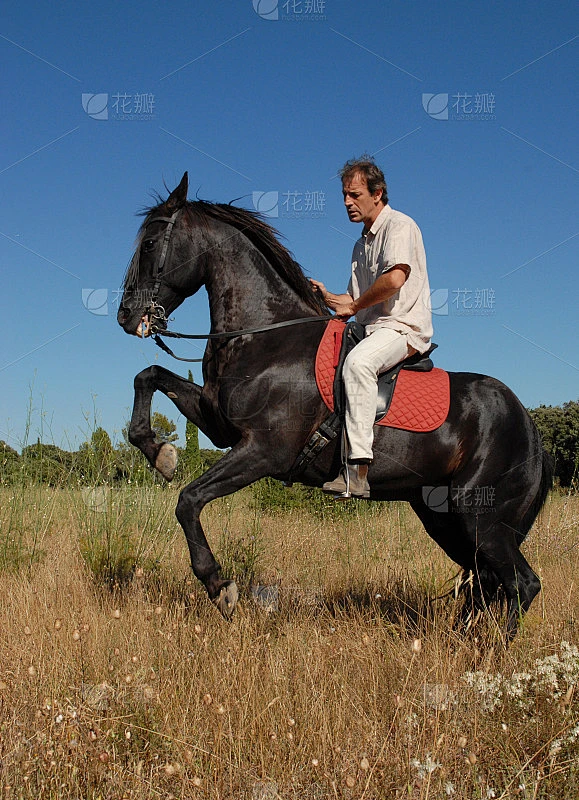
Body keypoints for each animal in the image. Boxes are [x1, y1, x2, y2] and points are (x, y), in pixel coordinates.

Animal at [117, 172, 552, 640]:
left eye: (150, 243)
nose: (125, 315)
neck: (265, 336)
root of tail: (529, 425)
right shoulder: (219, 425)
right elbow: (148, 376)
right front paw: (159, 453)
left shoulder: (263, 452)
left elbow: (188, 500)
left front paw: (219, 586)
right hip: (441, 515)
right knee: (485, 581)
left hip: (481, 516)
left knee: (522, 583)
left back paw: (488, 652)